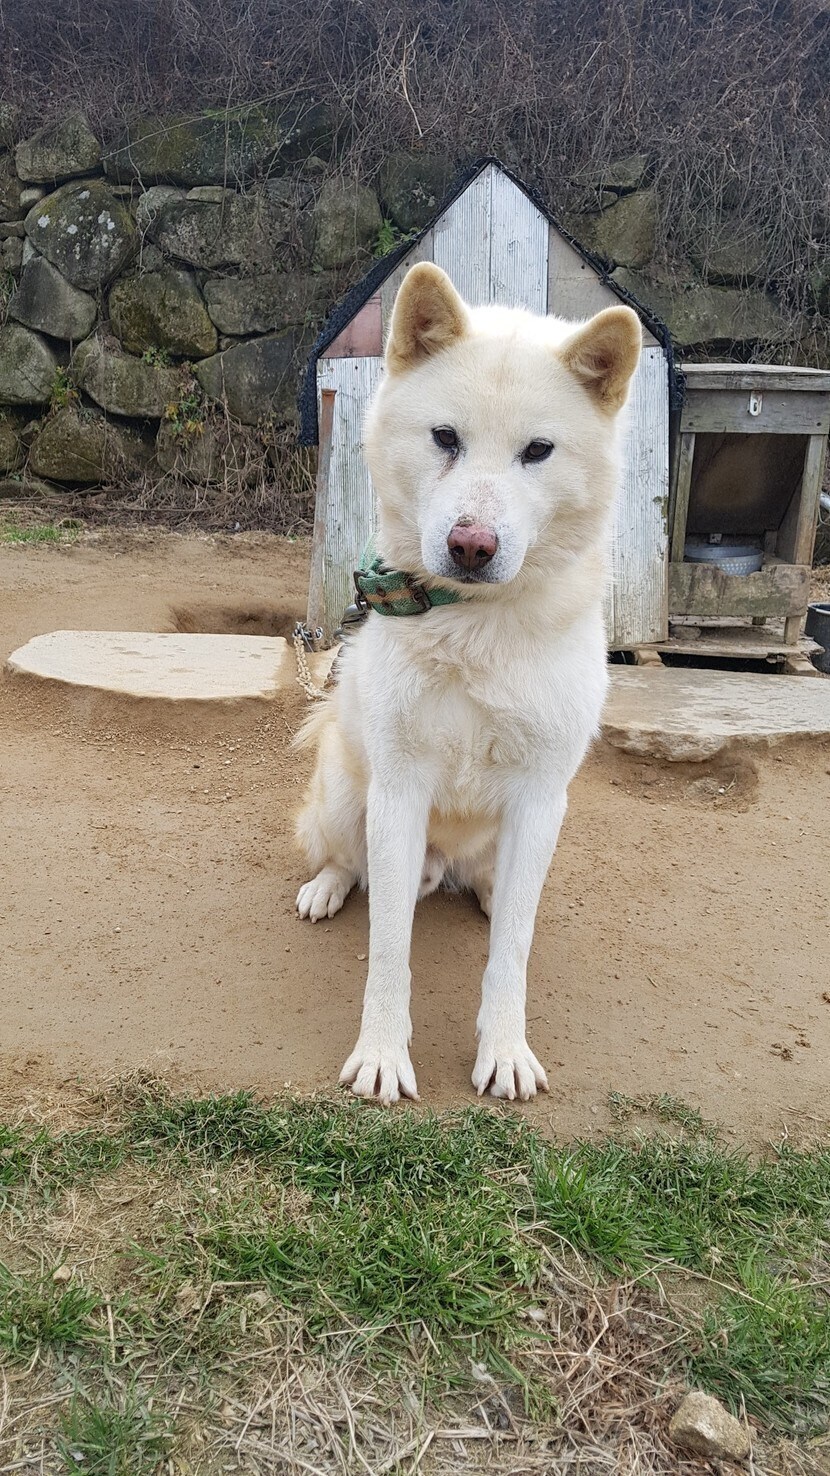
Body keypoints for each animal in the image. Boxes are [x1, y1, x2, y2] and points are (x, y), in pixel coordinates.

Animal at [295, 262, 641, 1105]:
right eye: (445, 438)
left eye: (538, 451)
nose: (472, 545)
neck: (474, 625)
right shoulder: (399, 791)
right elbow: (389, 950)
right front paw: (382, 1053)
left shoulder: (540, 797)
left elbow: (511, 952)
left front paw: (505, 1048)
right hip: (349, 797)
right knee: (348, 862)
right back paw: (327, 887)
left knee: (496, 892)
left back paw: (479, 893)